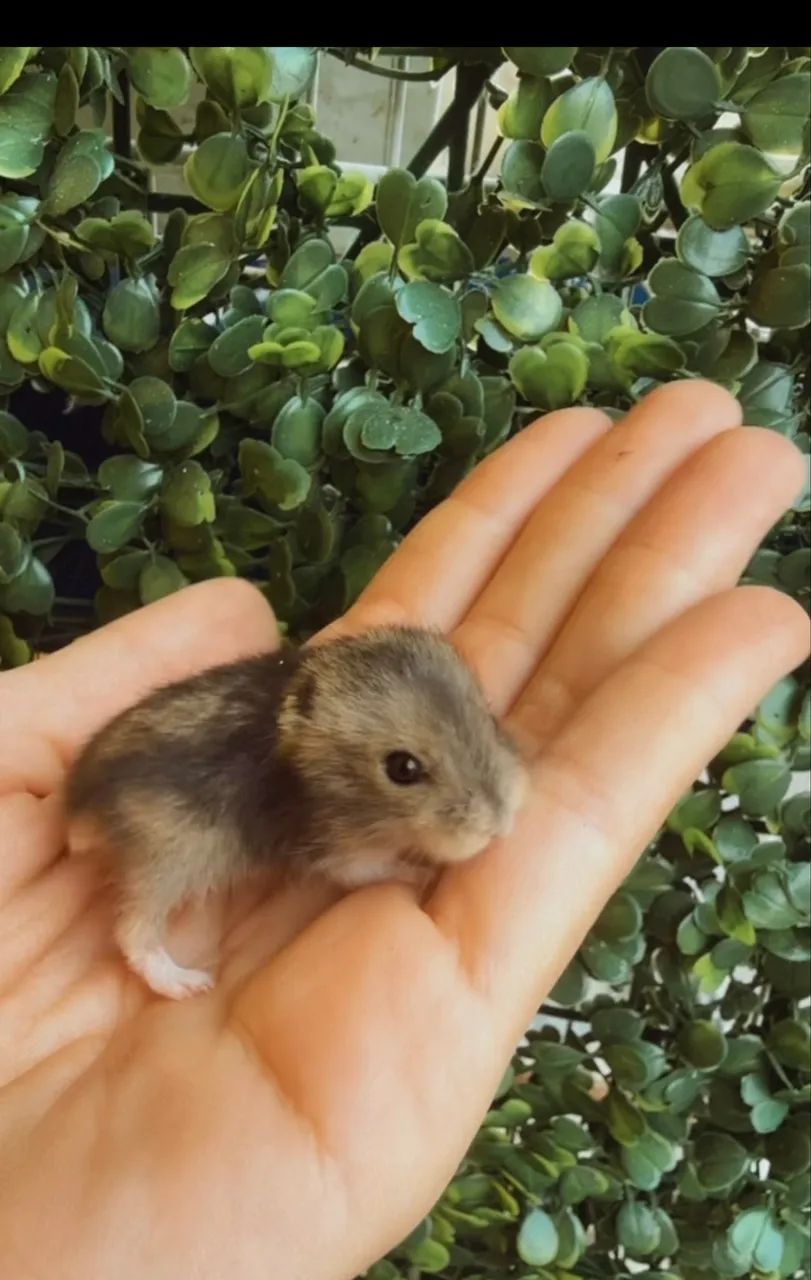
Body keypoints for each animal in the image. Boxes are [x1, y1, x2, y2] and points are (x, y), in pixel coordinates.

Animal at [65, 626, 527, 999]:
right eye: (403, 768)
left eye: (488, 716)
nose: (500, 825)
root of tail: (80, 805)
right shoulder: (339, 850)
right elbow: (373, 869)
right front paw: (422, 873)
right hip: (167, 861)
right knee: (134, 932)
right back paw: (187, 983)